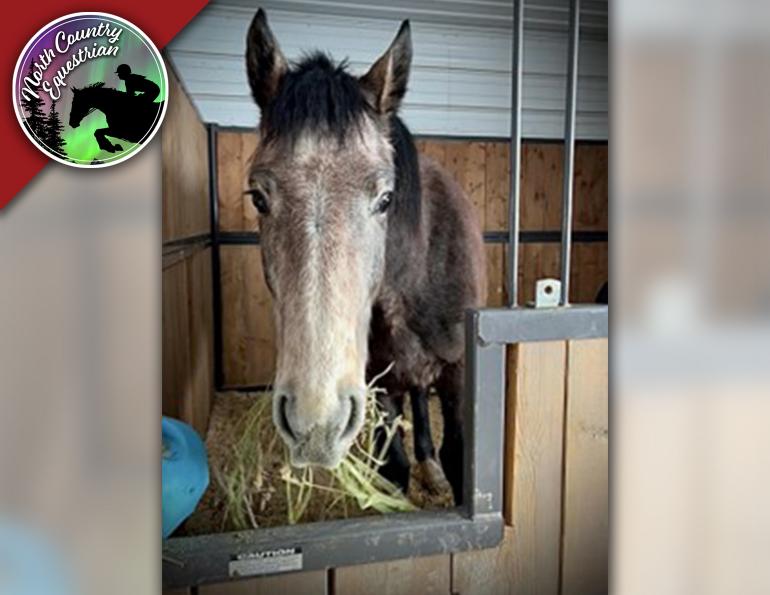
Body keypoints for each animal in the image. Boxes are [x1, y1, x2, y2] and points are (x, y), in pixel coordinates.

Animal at [245, 10, 486, 504]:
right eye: (258, 197)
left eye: (385, 198)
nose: (315, 424)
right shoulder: (376, 384)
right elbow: (392, 468)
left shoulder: (457, 375)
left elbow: (458, 458)